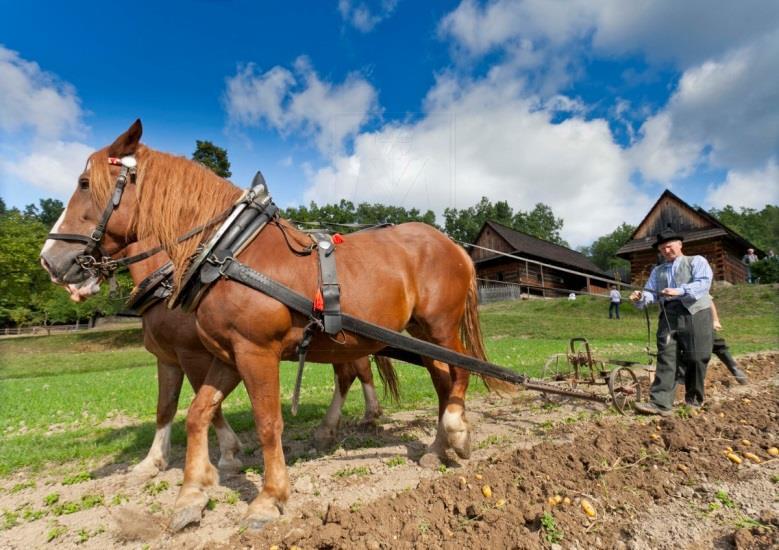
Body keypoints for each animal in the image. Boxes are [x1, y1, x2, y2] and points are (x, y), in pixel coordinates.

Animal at [125, 242, 402, 478]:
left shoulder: (193, 354)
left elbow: (210, 406)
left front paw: (228, 454)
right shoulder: (168, 359)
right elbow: (166, 407)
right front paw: (152, 460)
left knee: (355, 372)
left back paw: (363, 417)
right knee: (351, 373)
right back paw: (347, 422)